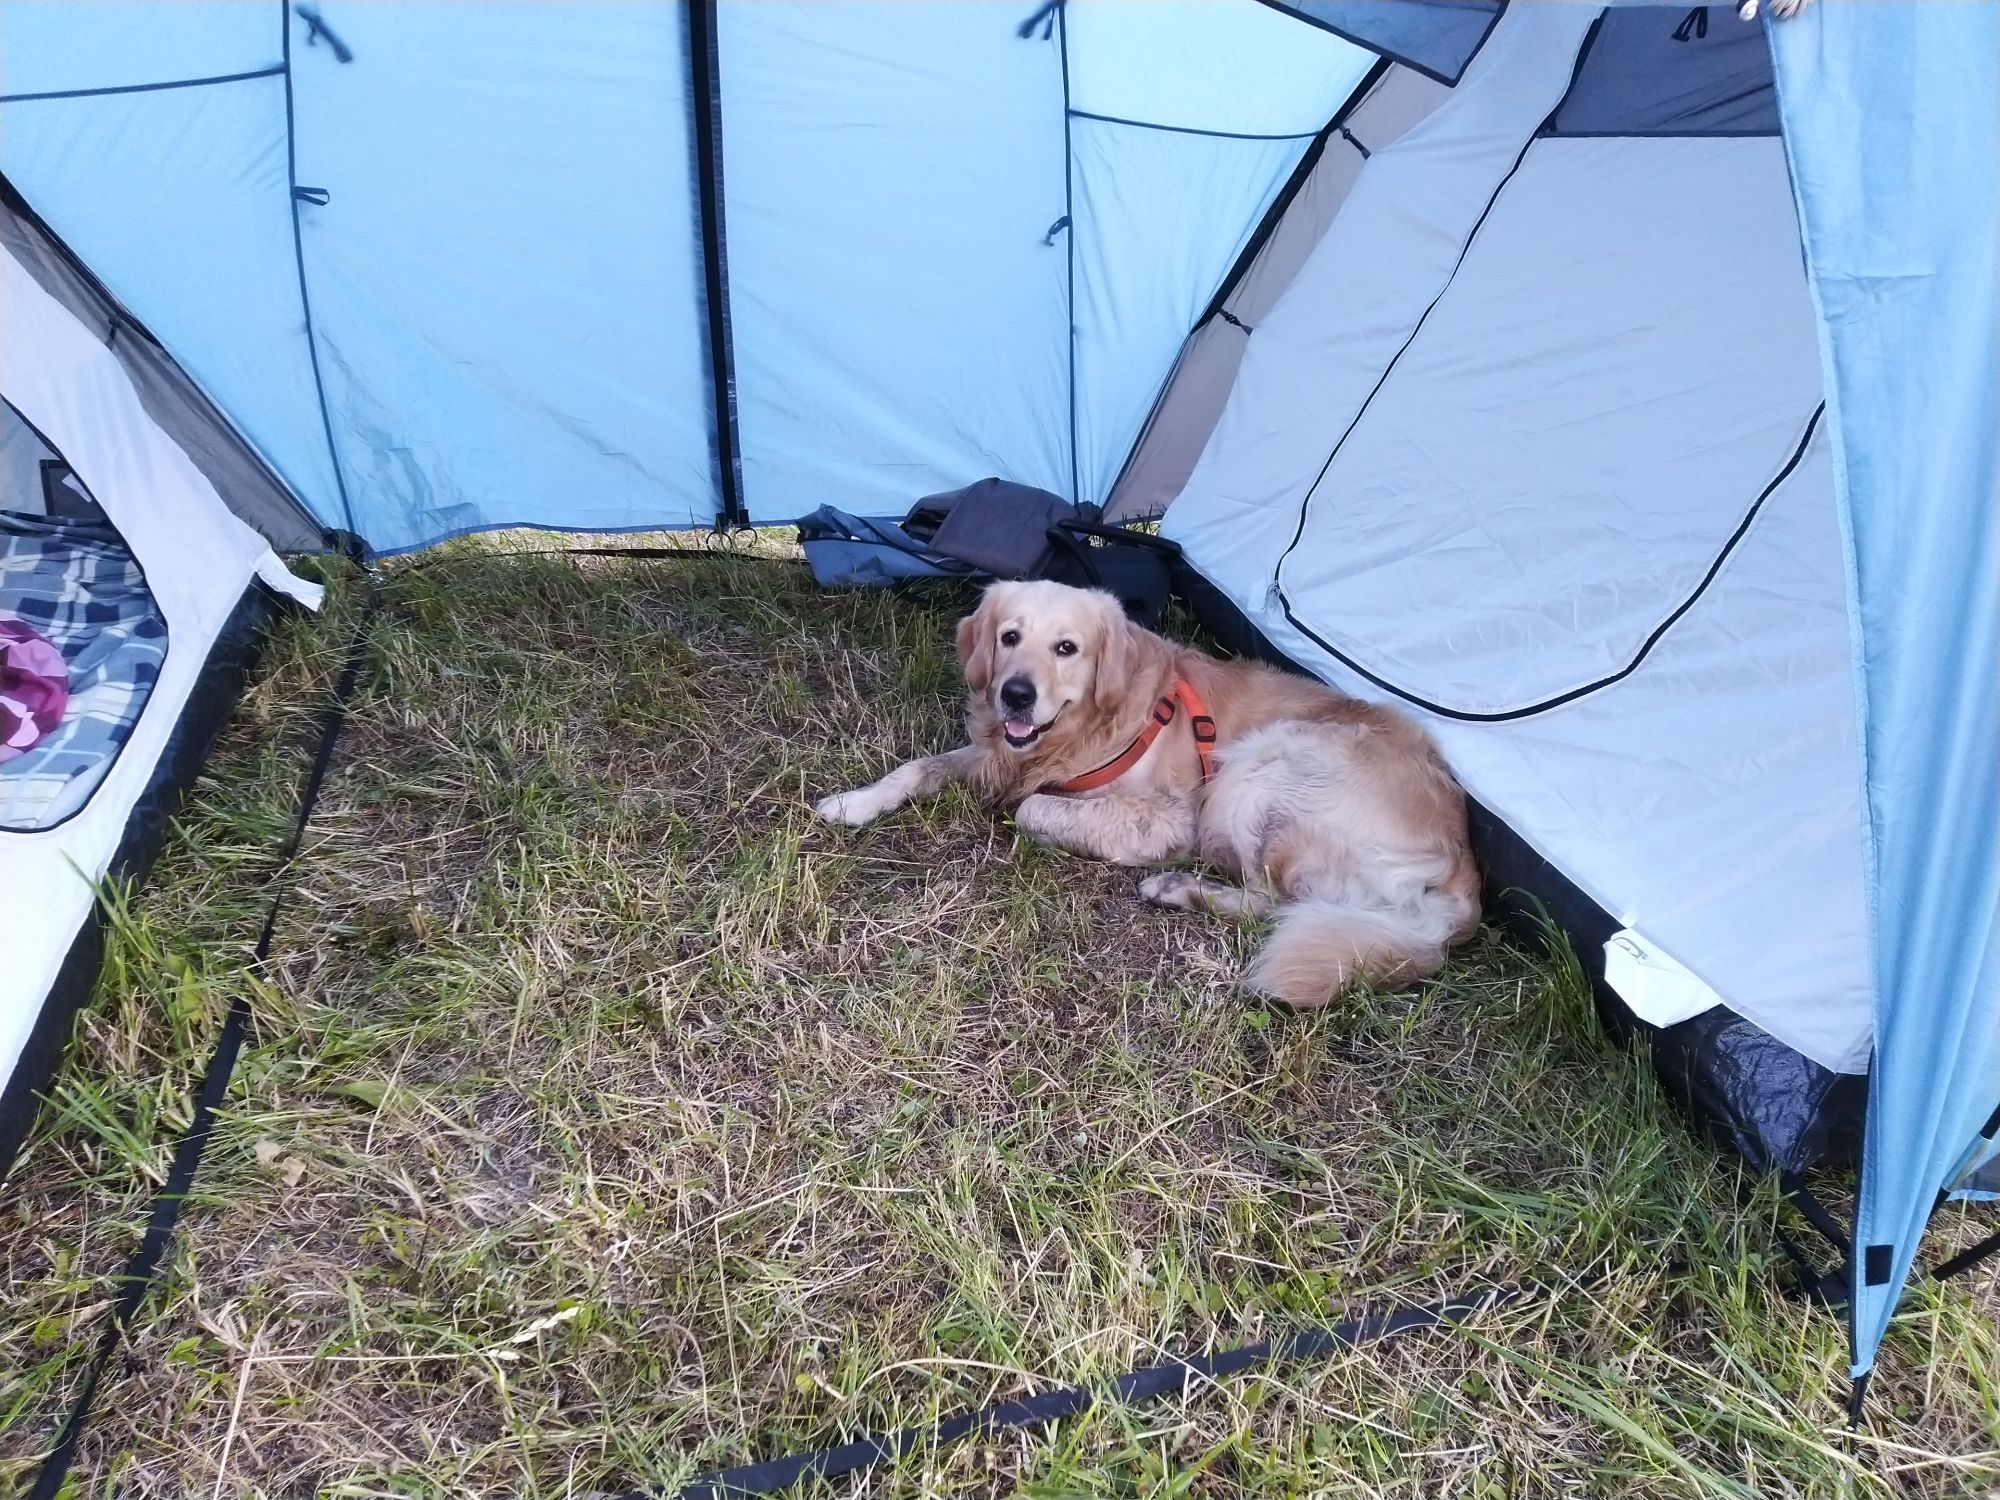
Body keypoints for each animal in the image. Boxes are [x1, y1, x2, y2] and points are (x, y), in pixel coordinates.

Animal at [814, 580, 1481, 1007]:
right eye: (1009, 637)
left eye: (1066, 647)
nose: (1016, 695)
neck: (1086, 729)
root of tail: (1461, 882)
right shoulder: (997, 753)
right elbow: (917, 768)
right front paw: (853, 802)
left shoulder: (1169, 816)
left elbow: (1033, 807)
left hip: (1267, 766)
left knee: (1273, 902)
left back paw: (1178, 887)